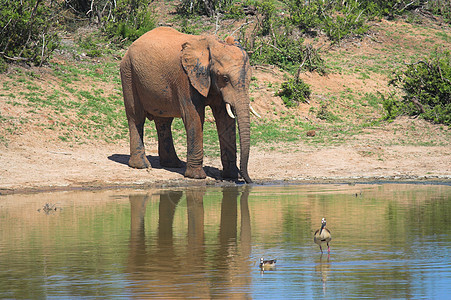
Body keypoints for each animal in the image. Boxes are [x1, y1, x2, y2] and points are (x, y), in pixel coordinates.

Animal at [119, 27, 258, 183]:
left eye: (249, 79)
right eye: (225, 78)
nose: (249, 181)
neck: (211, 47)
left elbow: (225, 119)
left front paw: (231, 176)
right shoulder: (185, 77)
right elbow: (194, 117)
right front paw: (197, 177)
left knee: (163, 121)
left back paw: (173, 164)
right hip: (128, 73)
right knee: (136, 117)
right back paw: (142, 165)